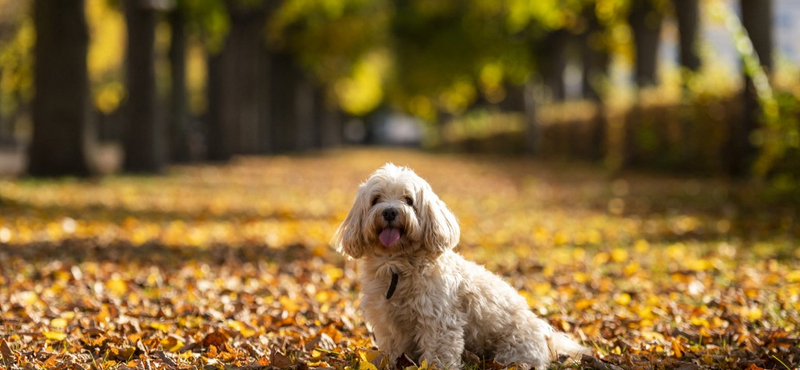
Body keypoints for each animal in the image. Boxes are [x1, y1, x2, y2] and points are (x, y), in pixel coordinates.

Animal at [332, 165, 588, 370]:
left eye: (408, 200)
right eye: (376, 199)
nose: (390, 211)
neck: (397, 264)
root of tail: (546, 336)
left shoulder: (440, 320)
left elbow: (439, 351)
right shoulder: (387, 321)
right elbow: (394, 349)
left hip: (512, 350)